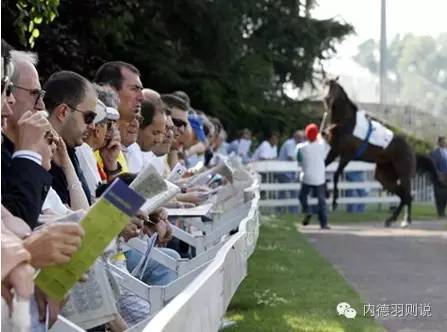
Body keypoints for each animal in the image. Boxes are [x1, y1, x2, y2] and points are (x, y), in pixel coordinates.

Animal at [322, 79, 444, 227]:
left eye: (334, 88)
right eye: (325, 86)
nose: (327, 99)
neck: (346, 122)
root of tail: (412, 151)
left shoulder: (346, 155)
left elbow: (335, 175)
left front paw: (334, 203)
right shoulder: (334, 151)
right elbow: (322, 168)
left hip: (404, 174)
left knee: (407, 196)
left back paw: (406, 220)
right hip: (384, 176)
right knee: (402, 195)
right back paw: (391, 219)